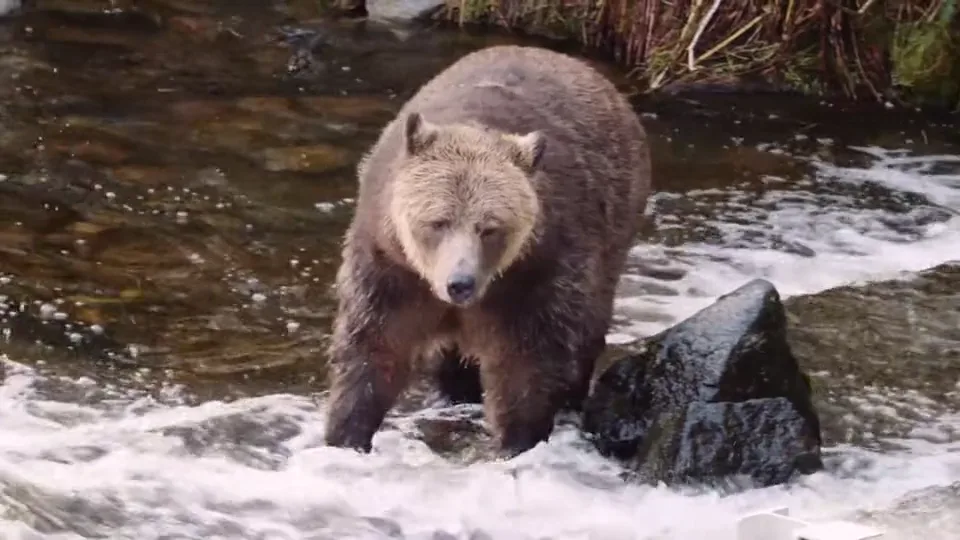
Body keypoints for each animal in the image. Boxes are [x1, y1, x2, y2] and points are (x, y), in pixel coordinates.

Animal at [323, 44, 652, 456]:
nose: (460, 283)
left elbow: (526, 363)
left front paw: (516, 439)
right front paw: (346, 434)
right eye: (438, 221)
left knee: (589, 326)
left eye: (490, 228)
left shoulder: (535, 275)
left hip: (615, 231)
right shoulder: (390, 269)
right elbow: (373, 348)